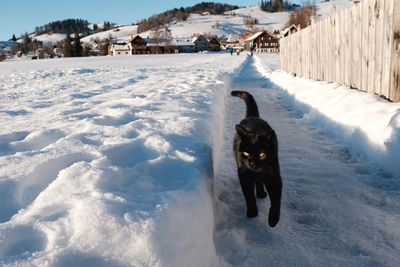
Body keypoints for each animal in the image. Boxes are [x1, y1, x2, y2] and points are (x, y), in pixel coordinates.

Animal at [230, 90, 282, 228]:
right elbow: (249, 196)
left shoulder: (273, 175)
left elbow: (276, 200)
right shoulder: (244, 175)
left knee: (259, 181)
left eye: (262, 154)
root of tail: (253, 117)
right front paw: (252, 213)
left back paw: (261, 193)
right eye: (246, 153)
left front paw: (273, 220)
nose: (253, 163)